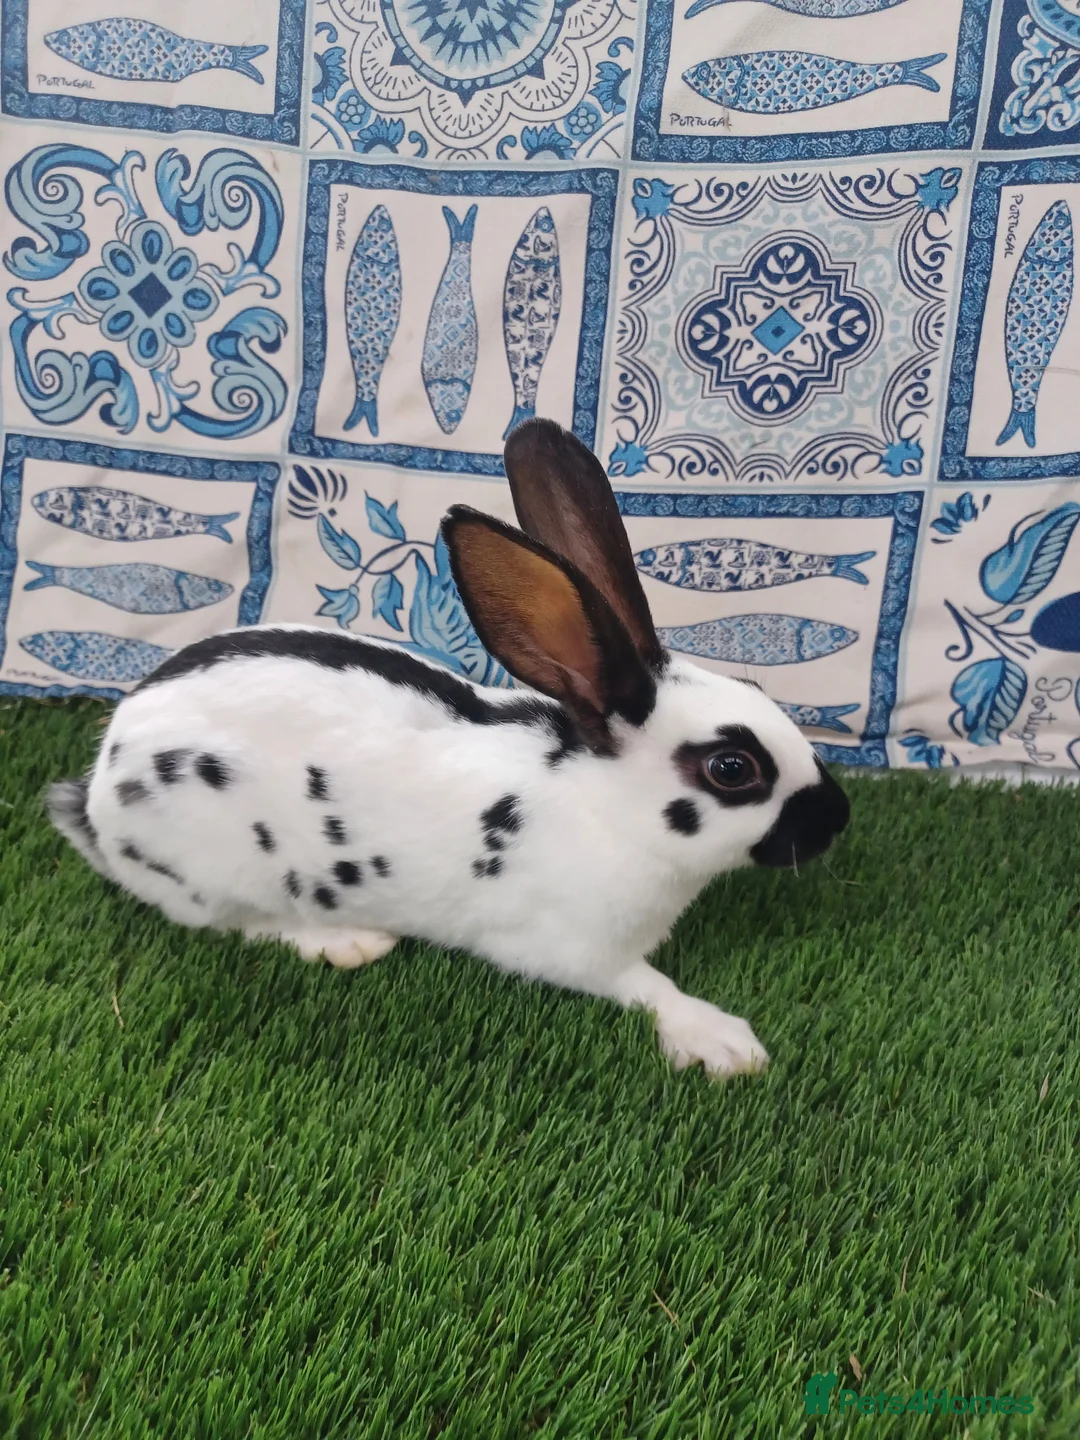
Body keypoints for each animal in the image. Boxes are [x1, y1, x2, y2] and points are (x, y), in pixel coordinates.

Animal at [48, 419, 849, 1078]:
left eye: (757, 686)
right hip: (220, 870)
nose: (837, 819)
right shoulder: (572, 949)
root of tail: (99, 792)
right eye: (732, 768)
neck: (603, 809)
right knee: (239, 923)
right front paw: (724, 1042)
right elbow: (647, 987)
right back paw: (345, 942)